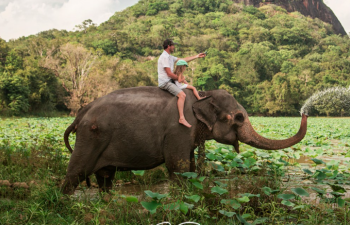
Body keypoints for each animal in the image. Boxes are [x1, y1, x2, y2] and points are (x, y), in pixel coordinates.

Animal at [61, 87, 308, 194]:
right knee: (76, 173)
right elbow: (178, 167)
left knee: (105, 177)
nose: (305, 112)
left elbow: (188, 166)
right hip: (90, 137)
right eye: (238, 117)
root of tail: (80, 114)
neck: (202, 96)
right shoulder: (179, 129)